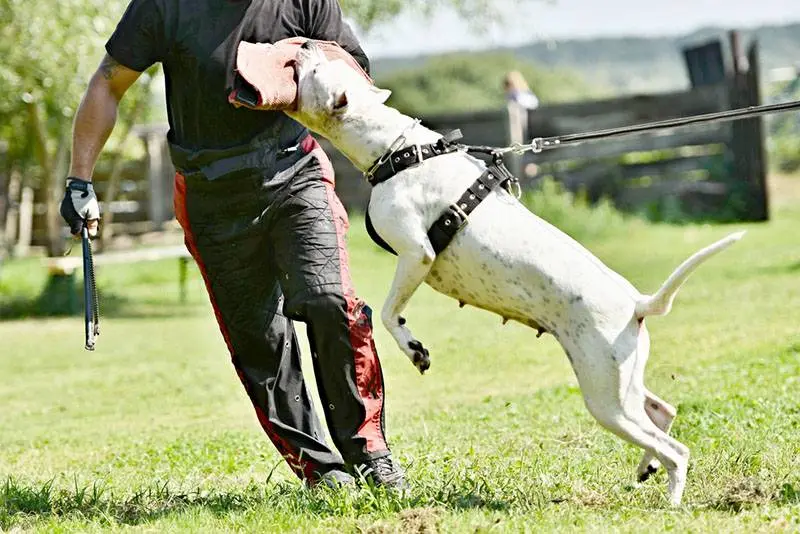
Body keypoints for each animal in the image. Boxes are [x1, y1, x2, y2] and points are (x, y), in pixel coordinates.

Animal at [286, 43, 744, 506]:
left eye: (317, 70)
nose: (305, 45)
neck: (398, 151)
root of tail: (637, 305)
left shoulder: (416, 255)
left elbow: (387, 313)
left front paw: (415, 349)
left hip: (607, 398)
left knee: (676, 450)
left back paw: (671, 502)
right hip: (620, 383)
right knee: (662, 412)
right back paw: (647, 466)